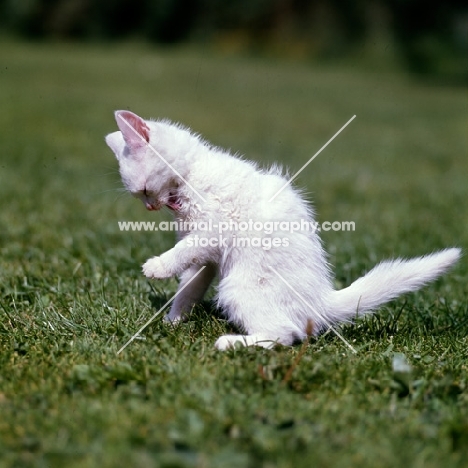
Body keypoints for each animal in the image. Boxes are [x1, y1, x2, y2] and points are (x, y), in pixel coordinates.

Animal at [107, 110, 460, 352]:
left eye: (144, 191)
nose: (150, 208)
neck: (192, 174)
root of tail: (320, 303)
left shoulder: (215, 231)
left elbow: (182, 252)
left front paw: (156, 267)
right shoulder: (206, 256)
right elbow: (189, 285)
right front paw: (174, 320)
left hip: (239, 288)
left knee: (288, 335)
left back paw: (231, 343)